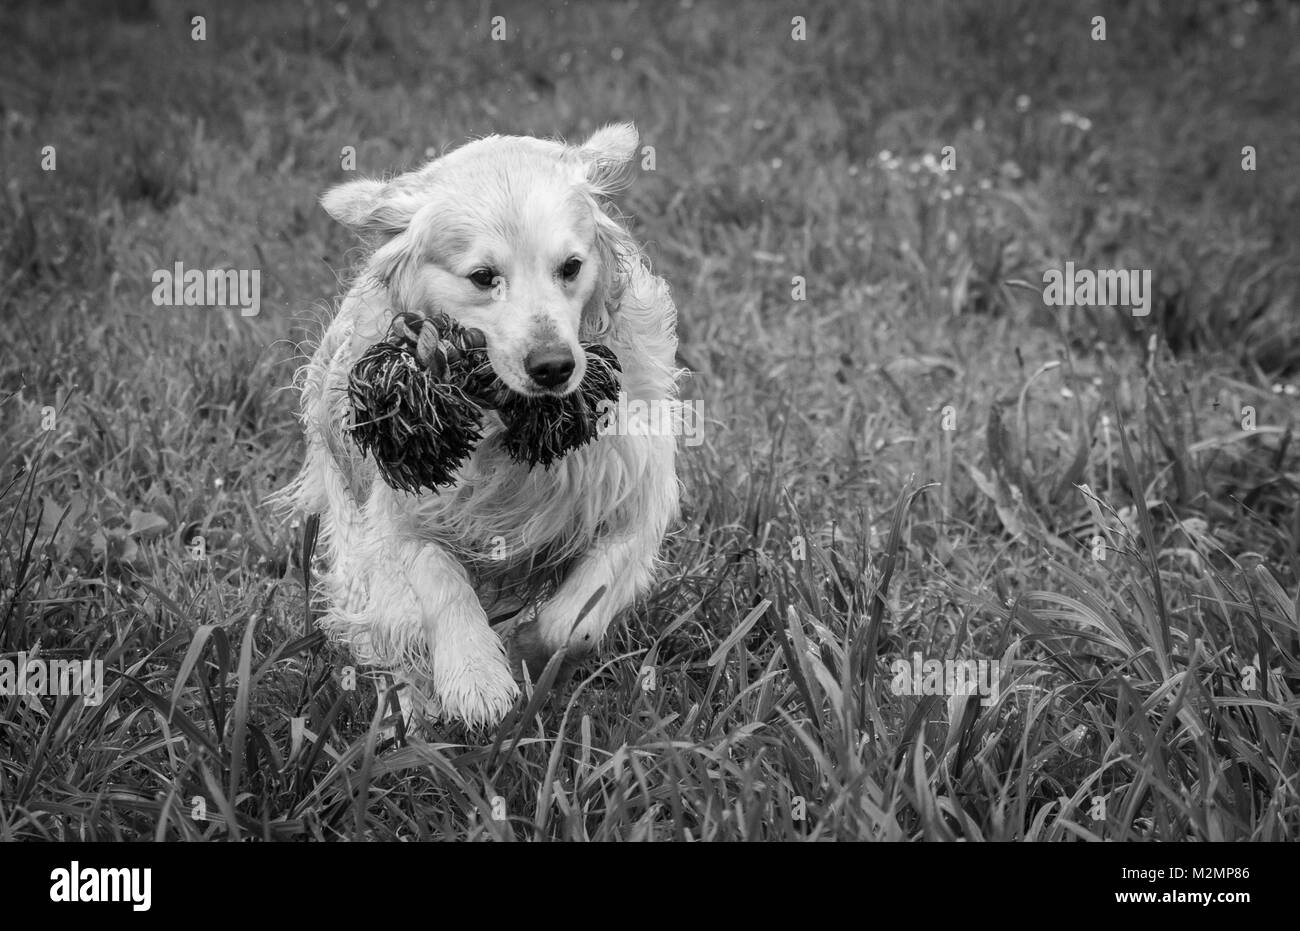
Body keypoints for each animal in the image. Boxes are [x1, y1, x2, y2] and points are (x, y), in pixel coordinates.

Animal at [280, 123, 686, 728]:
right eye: (482, 277)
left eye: (571, 267)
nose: (554, 367)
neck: (507, 425)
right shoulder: (401, 510)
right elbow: (439, 578)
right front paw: (475, 677)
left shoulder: (637, 497)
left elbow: (575, 625)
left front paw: (524, 652)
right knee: (392, 634)